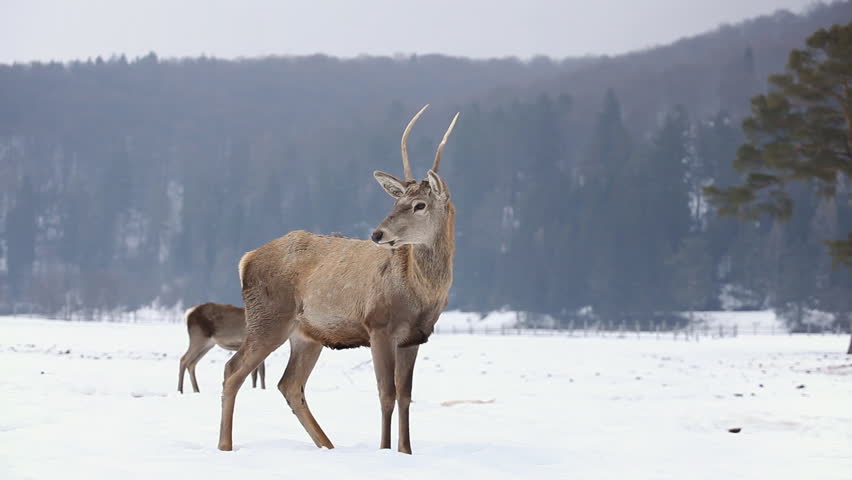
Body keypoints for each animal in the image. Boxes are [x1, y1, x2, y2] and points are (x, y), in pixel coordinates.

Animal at [217, 105, 459, 454]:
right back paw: (225, 446)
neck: (419, 294)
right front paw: (384, 450)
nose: (377, 234)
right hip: (268, 318)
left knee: (289, 384)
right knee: (233, 370)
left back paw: (327, 445)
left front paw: (406, 451)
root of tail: (245, 260)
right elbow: (386, 394)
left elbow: (405, 397)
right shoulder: (378, 325)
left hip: (306, 334)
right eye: (395, 202)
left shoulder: (415, 337)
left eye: (419, 205)